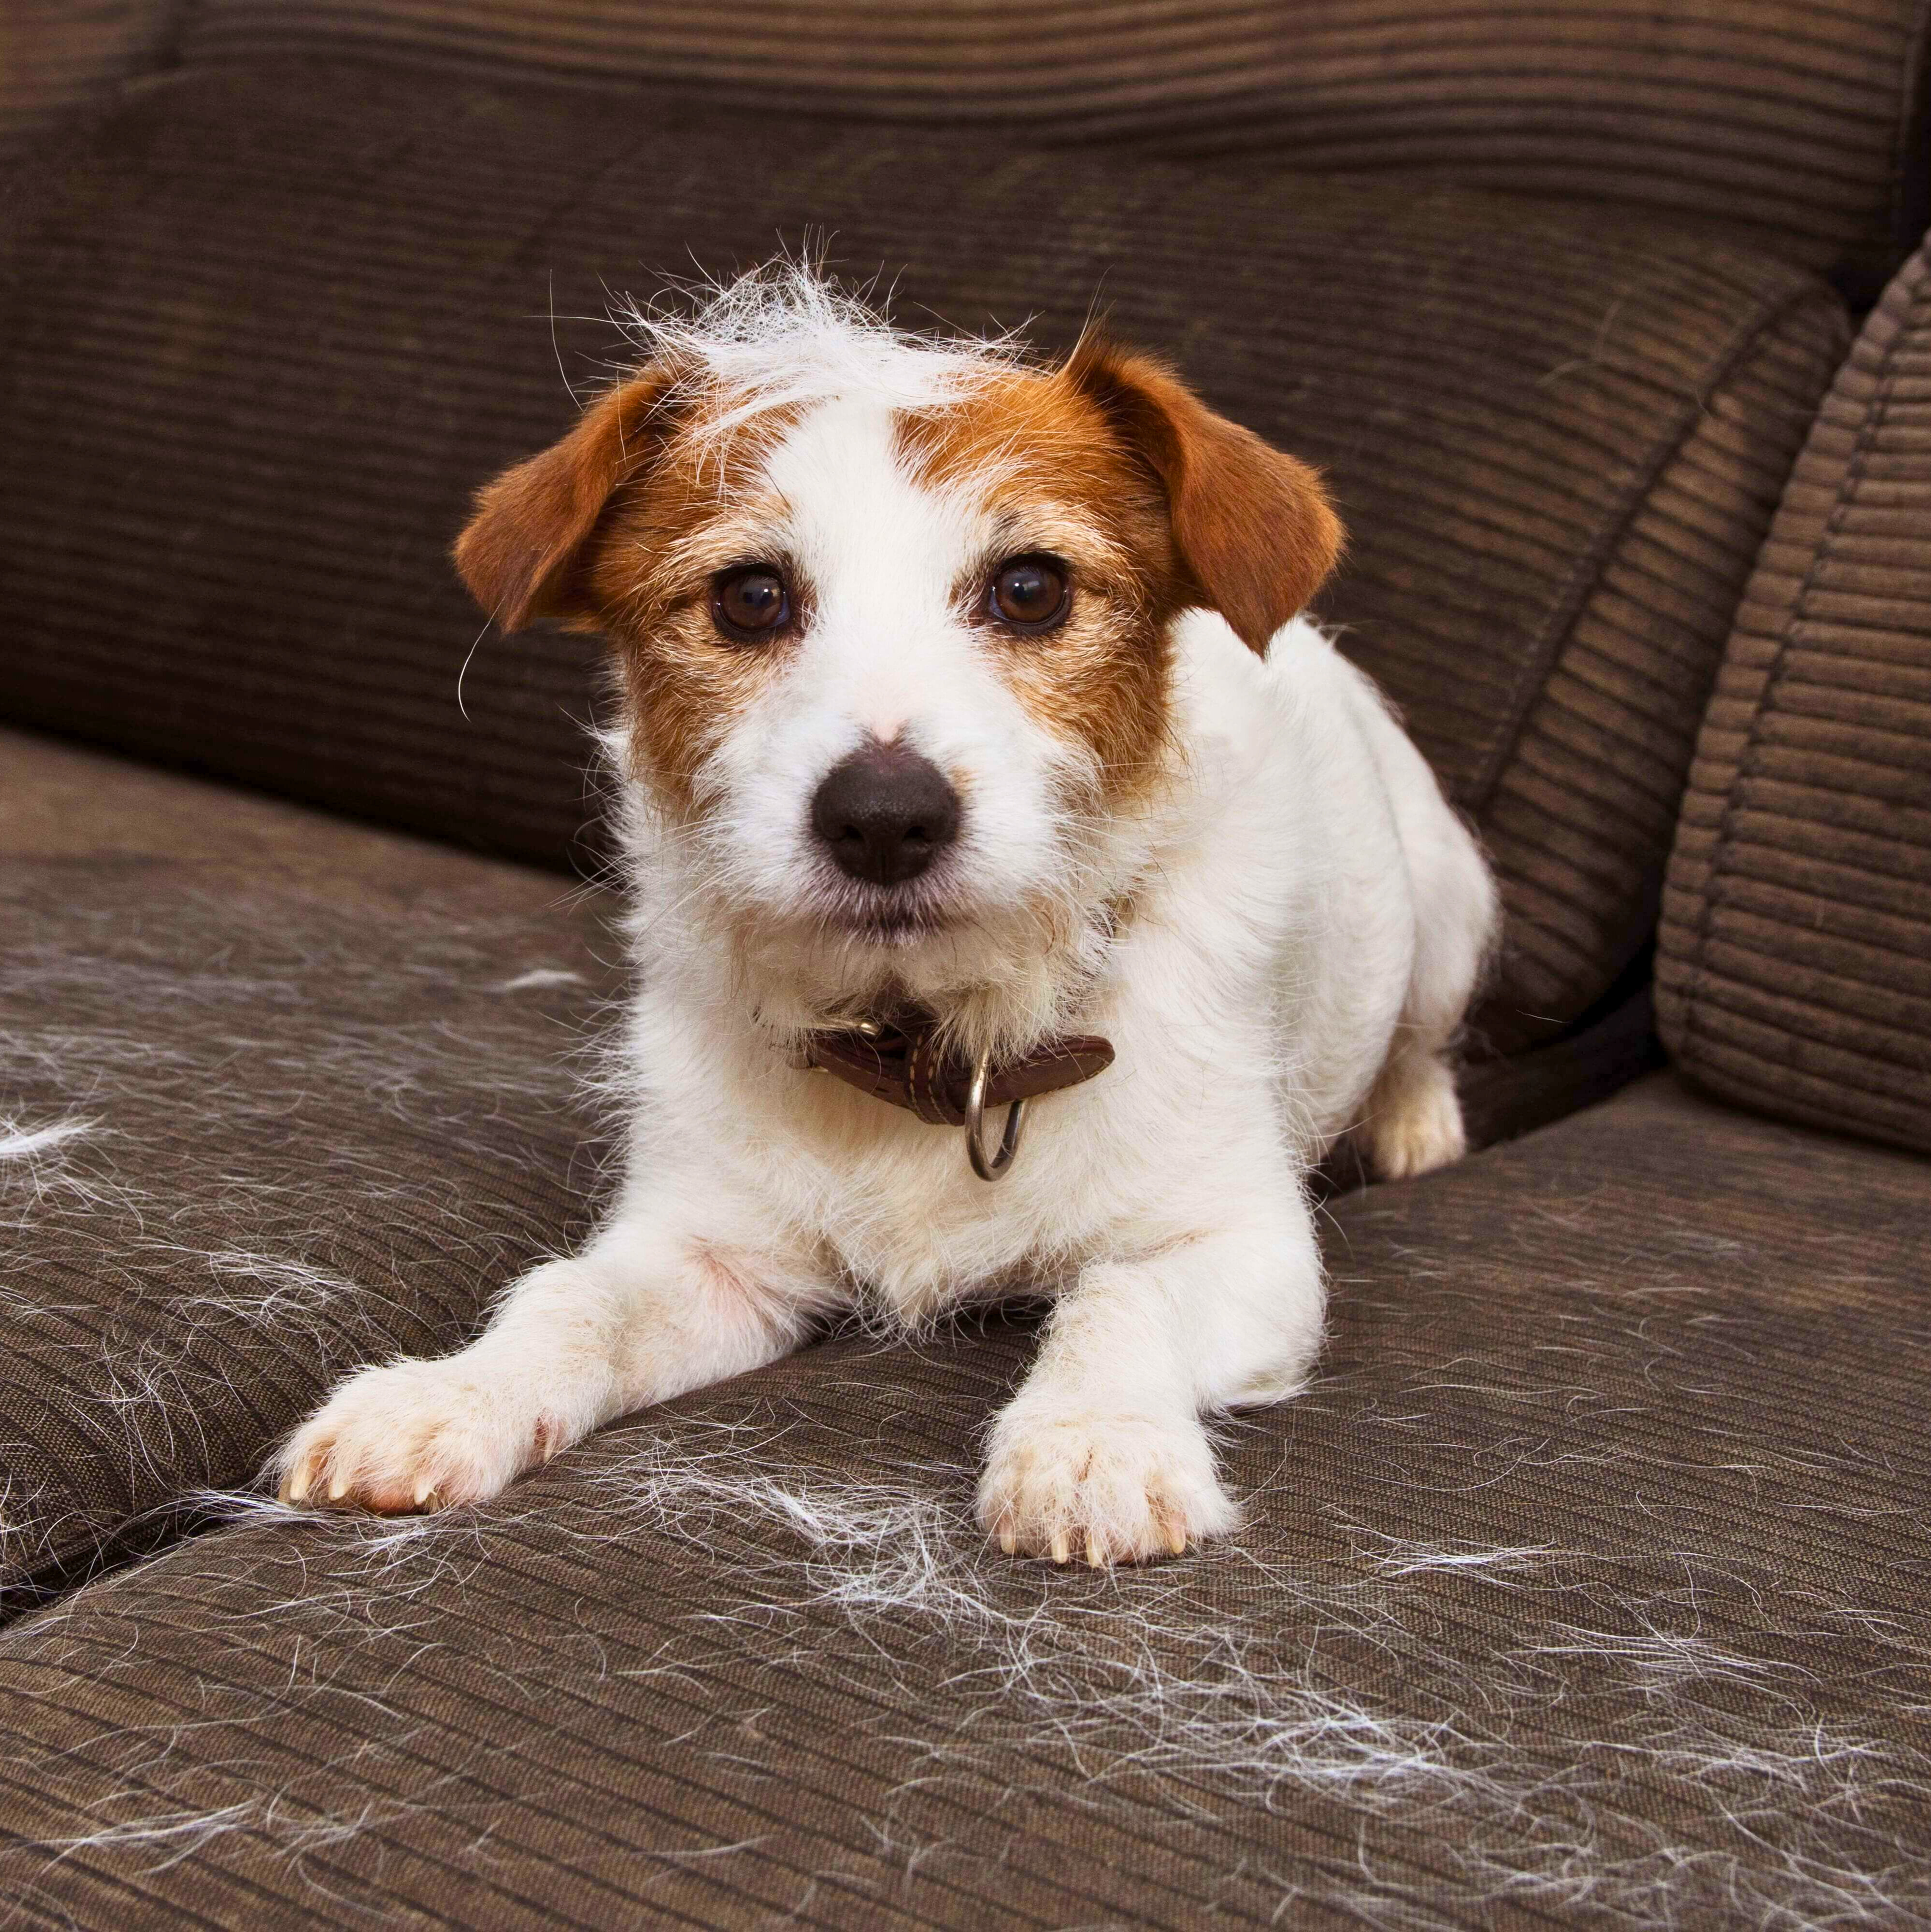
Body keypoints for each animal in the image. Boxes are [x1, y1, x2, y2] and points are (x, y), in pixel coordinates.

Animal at [280, 269, 1500, 1569]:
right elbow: (572, 1300)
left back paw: (1415, 1122)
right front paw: (448, 1395)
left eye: (1031, 588)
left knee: (1423, 1035)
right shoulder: (711, 1254)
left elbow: (1123, 1297)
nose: (881, 817)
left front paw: (1093, 1441)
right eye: (751, 597)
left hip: (1447, 907)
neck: (932, 1038)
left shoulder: (1242, 1248)